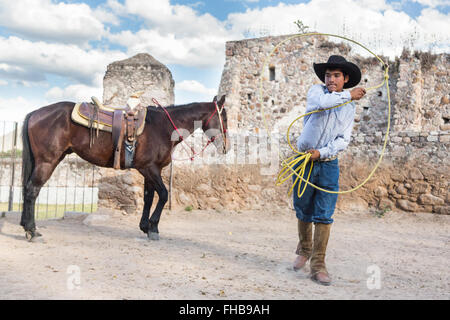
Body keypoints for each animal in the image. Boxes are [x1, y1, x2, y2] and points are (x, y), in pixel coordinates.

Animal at [20, 95, 229, 240]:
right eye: (225, 119)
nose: (226, 146)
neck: (163, 127)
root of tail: (35, 113)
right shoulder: (150, 169)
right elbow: (163, 195)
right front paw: (153, 227)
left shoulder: (150, 171)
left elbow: (148, 198)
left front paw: (145, 227)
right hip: (47, 161)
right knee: (32, 191)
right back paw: (31, 230)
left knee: (27, 190)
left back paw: (25, 226)